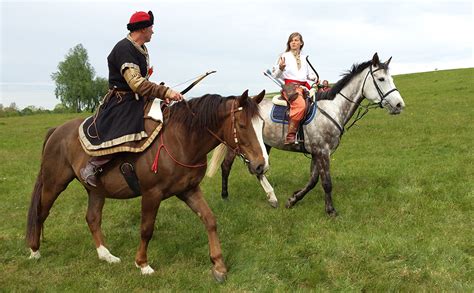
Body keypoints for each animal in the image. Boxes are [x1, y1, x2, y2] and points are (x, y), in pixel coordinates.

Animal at [25, 89, 268, 280]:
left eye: (262, 124)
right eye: (243, 125)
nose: (260, 166)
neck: (182, 140)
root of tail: (56, 130)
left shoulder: (189, 190)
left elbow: (210, 220)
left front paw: (218, 265)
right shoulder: (152, 194)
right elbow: (146, 229)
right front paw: (142, 264)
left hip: (96, 190)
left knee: (92, 218)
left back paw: (106, 255)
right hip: (54, 183)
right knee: (41, 212)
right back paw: (34, 251)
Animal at [220, 53, 406, 214]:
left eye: (391, 78)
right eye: (381, 79)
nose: (399, 105)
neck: (332, 108)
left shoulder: (317, 152)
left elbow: (312, 180)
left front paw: (293, 199)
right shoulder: (322, 152)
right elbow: (326, 182)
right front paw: (330, 210)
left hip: (263, 145)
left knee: (256, 169)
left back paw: (271, 198)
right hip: (237, 146)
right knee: (227, 166)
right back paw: (226, 196)